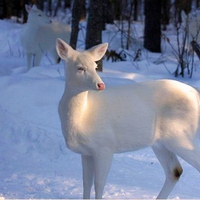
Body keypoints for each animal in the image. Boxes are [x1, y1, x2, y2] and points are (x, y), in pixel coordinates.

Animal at [55, 38, 200, 199]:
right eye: (80, 68)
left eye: (95, 66)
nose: (100, 85)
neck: (82, 117)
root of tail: (196, 94)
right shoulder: (86, 152)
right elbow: (86, 183)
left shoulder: (105, 146)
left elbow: (99, 184)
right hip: (160, 143)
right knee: (175, 170)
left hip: (180, 134)